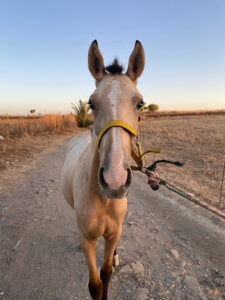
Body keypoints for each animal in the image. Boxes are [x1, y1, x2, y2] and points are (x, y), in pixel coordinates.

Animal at [61, 40, 145, 300]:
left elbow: (106, 274)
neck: (102, 199)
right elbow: (95, 284)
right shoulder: (88, 239)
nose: (114, 180)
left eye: (140, 103)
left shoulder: (113, 233)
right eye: (92, 103)